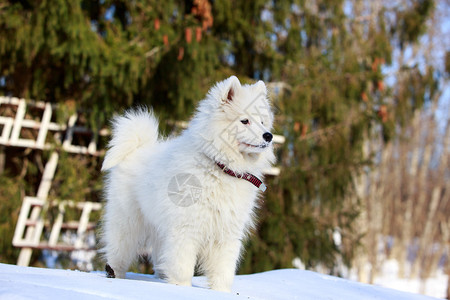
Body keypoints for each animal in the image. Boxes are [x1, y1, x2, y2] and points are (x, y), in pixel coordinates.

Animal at [100, 76, 276, 292]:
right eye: (245, 121)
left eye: (262, 122)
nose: (268, 136)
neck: (221, 166)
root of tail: (139, 147)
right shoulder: (185, 228)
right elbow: (183, 266)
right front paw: (181, 288)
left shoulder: (227, 232)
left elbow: (223, 270)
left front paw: (220, 292)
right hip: (127, 223)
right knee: (118, 252)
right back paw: (115, 275)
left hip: (159, 229)